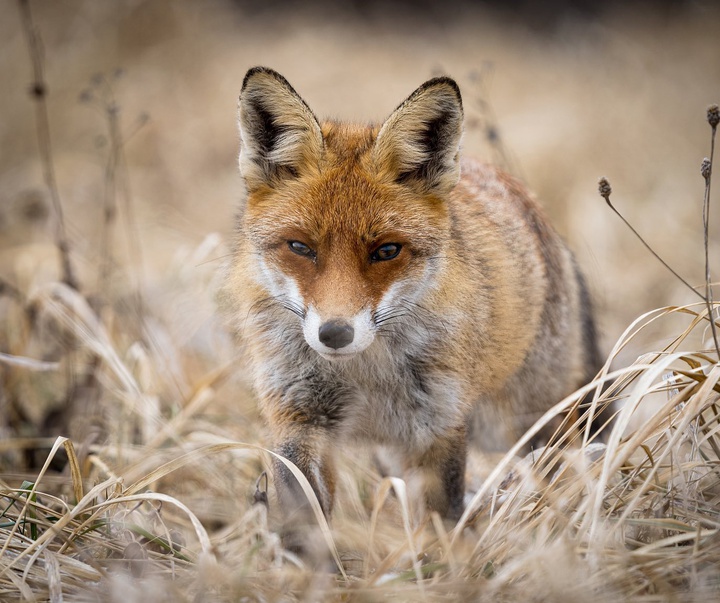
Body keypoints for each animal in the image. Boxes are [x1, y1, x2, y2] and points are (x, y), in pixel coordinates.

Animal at [221, 67, 600, 524]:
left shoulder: (439, 427)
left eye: (386, 251)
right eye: (300, 247)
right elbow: (305, 521)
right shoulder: (298, 421)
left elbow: (442, 520)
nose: (335, 333)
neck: (365, 375)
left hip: (525, 425)